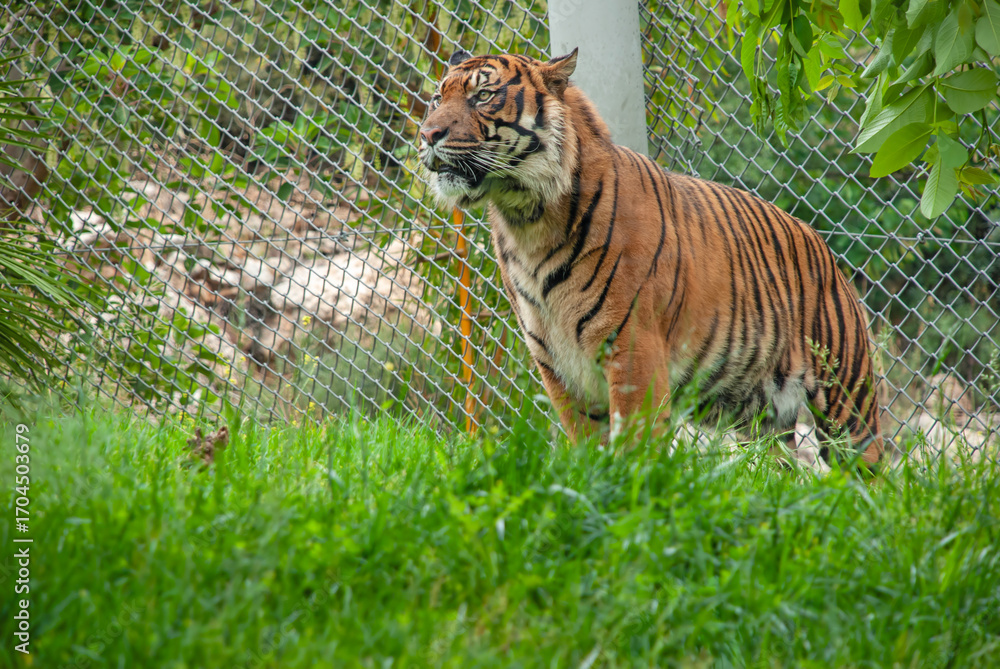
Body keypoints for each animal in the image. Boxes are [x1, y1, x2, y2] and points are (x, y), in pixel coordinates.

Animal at [418, 48, 884, 469]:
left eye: (483, 96)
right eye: (439, 98)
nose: (426, 135)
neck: (527, 220)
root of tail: (822, 244)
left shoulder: (632, 347)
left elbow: (633, 444)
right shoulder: (557, 364)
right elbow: (587, 445)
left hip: (845, 401)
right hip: (762, 413)